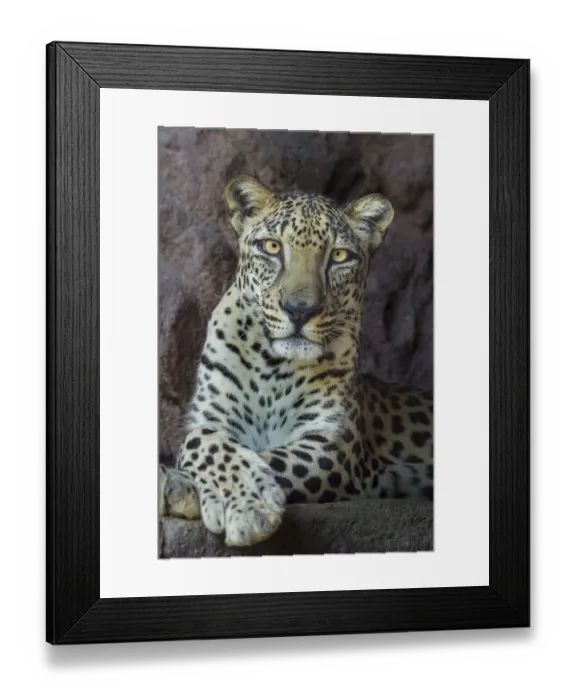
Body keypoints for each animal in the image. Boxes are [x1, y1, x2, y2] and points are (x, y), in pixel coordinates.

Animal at [159, 174, 433, 548]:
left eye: (339, 255)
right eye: (272, 247)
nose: (300, 310)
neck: (270, 366)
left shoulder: (335, 446)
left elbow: (263, 456)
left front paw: (243, 504)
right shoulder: (212, 417)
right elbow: (201, 438)